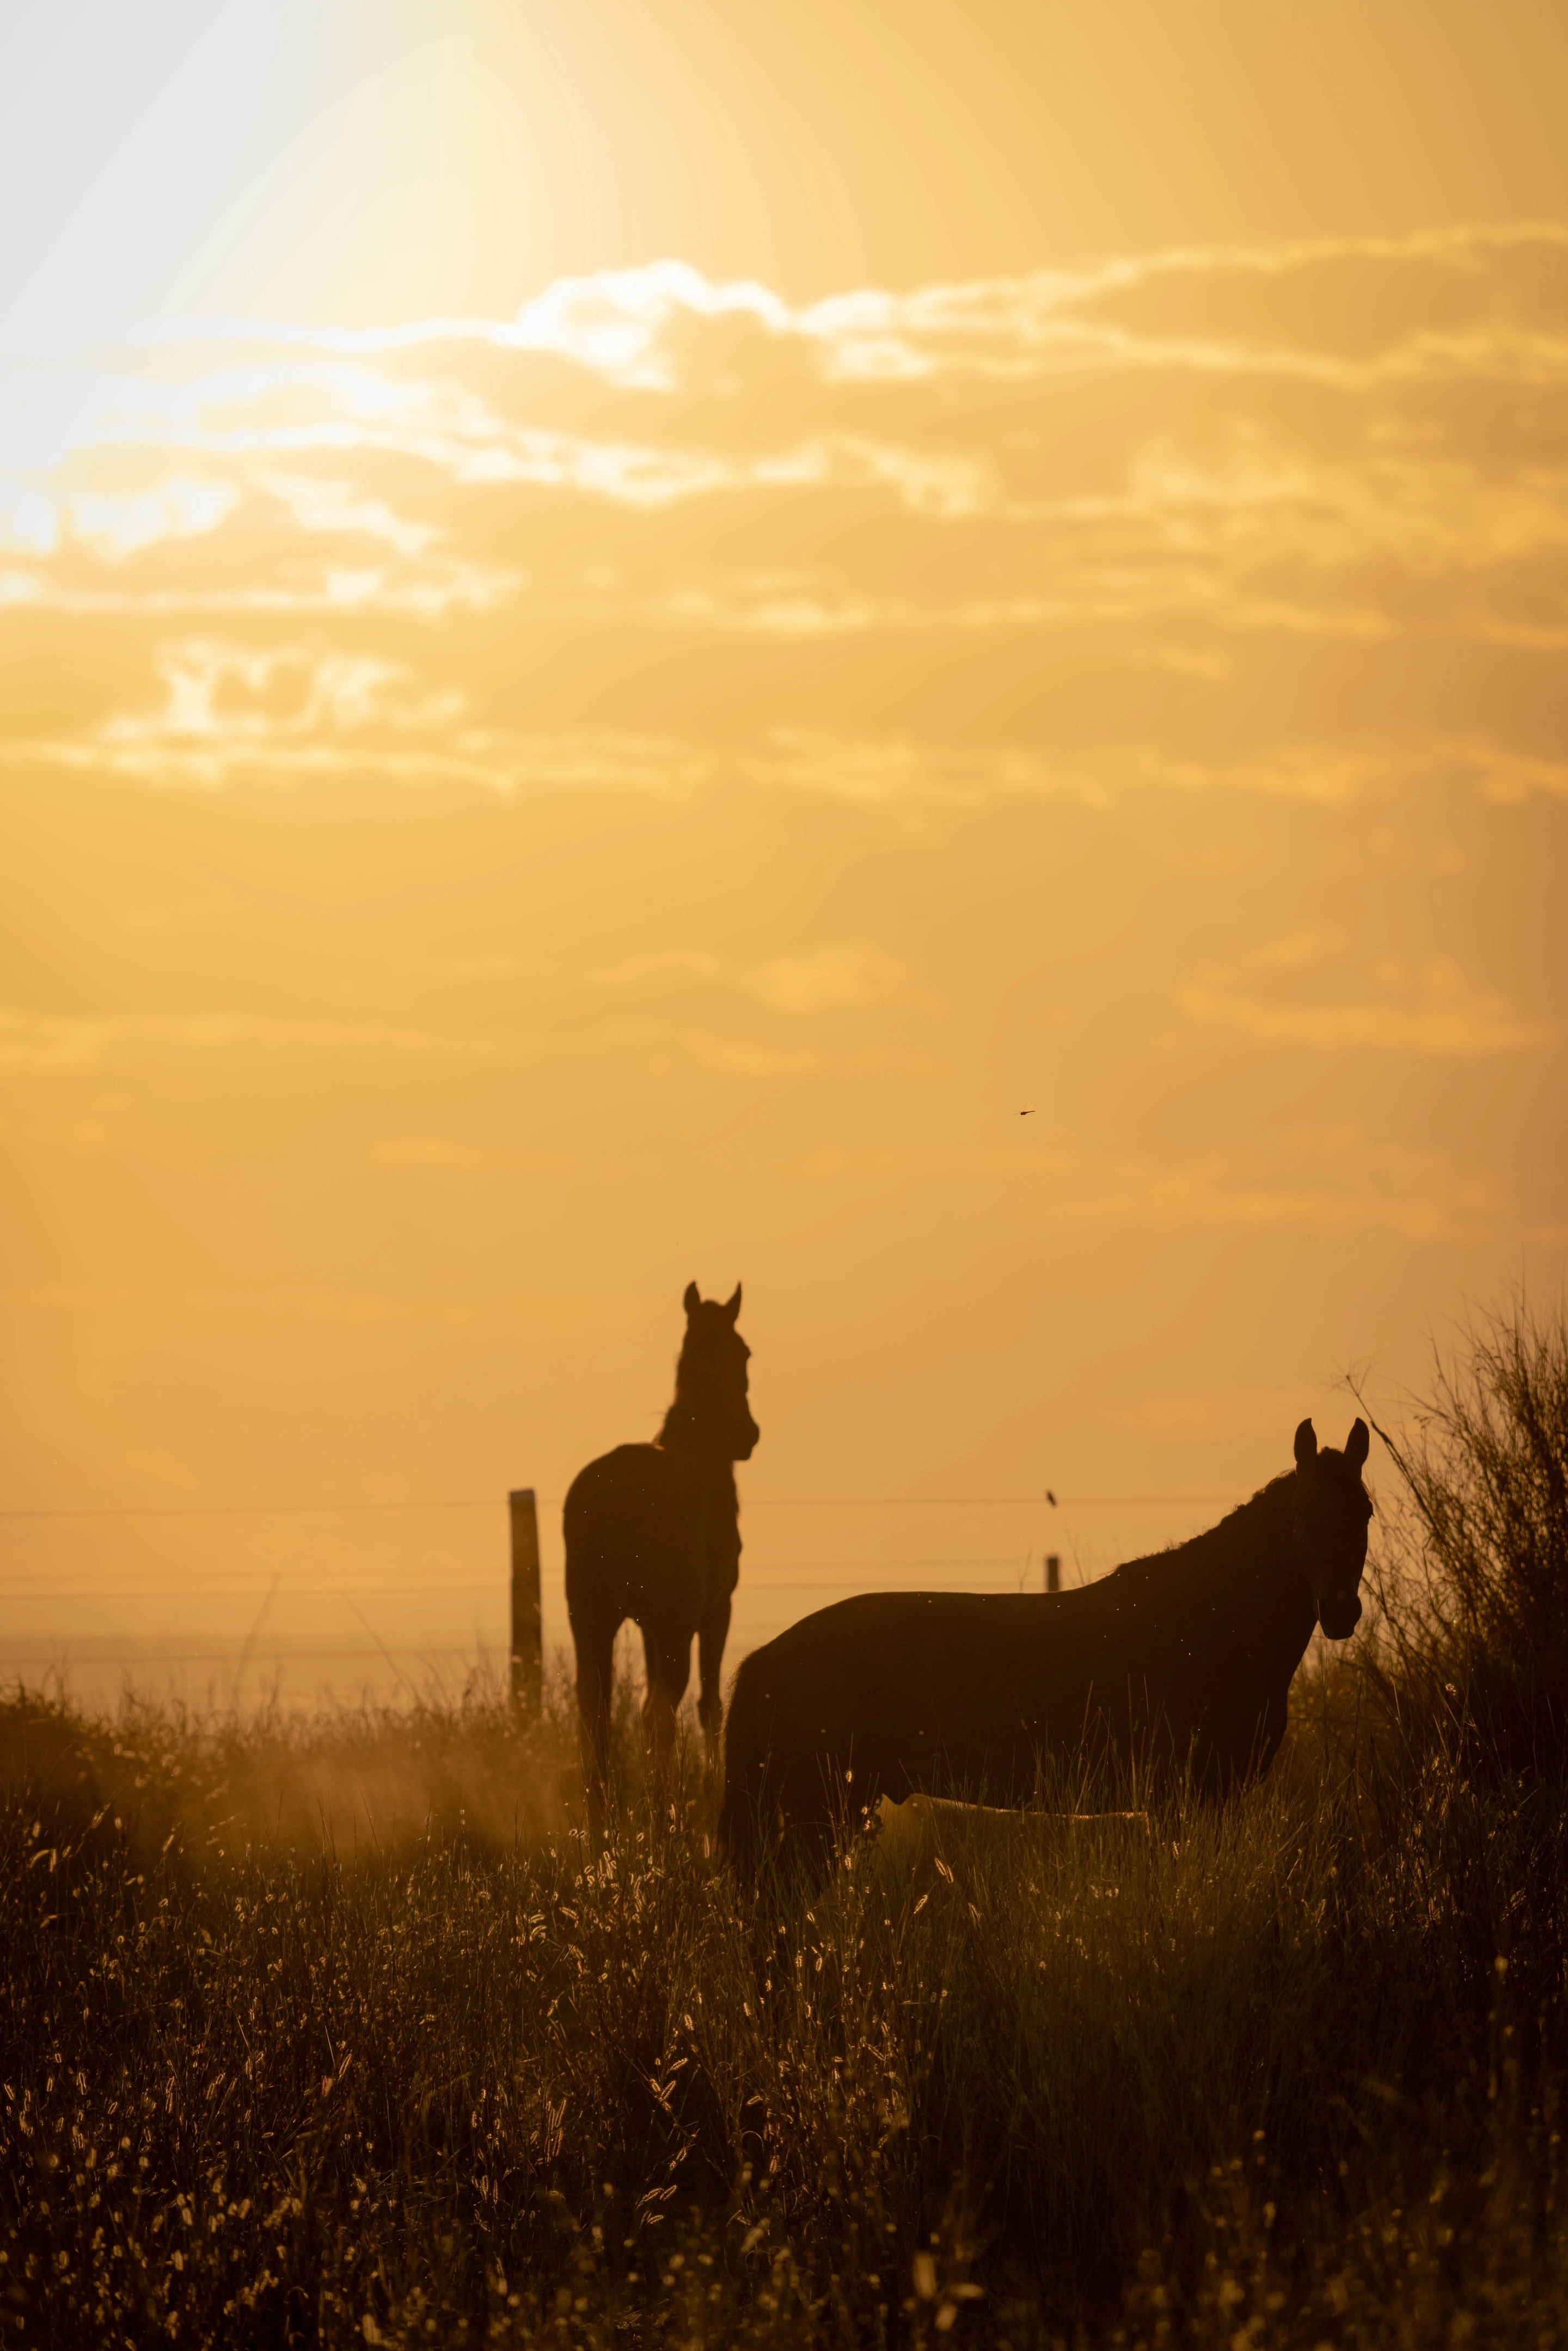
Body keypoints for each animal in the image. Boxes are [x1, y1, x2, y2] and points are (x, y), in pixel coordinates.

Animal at [565, 1281, 759, 1807]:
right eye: (744, 1351)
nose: (748, 1436)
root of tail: (613, 1495)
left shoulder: (647, 1623)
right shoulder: (714, 1609)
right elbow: (710, 1705)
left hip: (590, 1618)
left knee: (596, 1717)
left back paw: (604, 1819)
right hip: (673, 1624)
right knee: (659, 1714)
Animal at [718, 1416, 1371, 1874]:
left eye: (1365, 1509)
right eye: (1301, 1512)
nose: (1341, 1611)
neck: (1210, 1621)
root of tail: (767, 1658)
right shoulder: (1182, 1801)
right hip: (815, 1813)